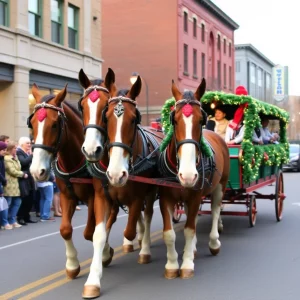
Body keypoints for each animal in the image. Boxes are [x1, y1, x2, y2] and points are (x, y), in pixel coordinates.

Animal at [27, 84, 96, 278]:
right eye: (31, 124)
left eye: (54, 124)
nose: (37, 171)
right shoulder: (67, 195)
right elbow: (65, 229)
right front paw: (72, 265)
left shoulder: (93, 196)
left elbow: (90, 232)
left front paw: (105, 253)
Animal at [78, 68, 161, 298]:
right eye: (107, 117)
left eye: (133, 120)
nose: (91, 150)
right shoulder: (102, 196)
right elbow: (98, 234)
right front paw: (93, 279)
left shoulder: (138, 196)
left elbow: (129, 229)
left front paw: (135, 245)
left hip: (152, 192)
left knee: (147, 215)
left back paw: (144, 247)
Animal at [159, 79, 230, 278]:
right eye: (174, 120)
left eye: (201, 120)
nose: (188, 175)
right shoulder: (165, 198)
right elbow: (169, 233)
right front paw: (172, 265)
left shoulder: (195, 196)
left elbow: (189, 230)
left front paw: (187, 264)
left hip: (220, 186)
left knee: (215, 210)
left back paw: (214, 242)